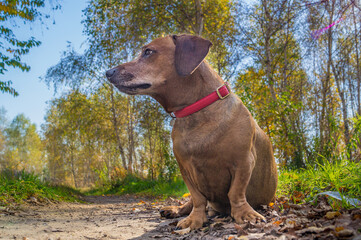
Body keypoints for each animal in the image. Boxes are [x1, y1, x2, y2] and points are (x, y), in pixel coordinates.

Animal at [105, 34, 278, 230]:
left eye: (148, 52)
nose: (108, 72)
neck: (197, 111)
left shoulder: (243, 162)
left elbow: (235, 192)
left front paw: (245, 213)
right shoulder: (186, 170)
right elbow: (197, 198)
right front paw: (194, 219)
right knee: (190, 203)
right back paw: (174, 210)